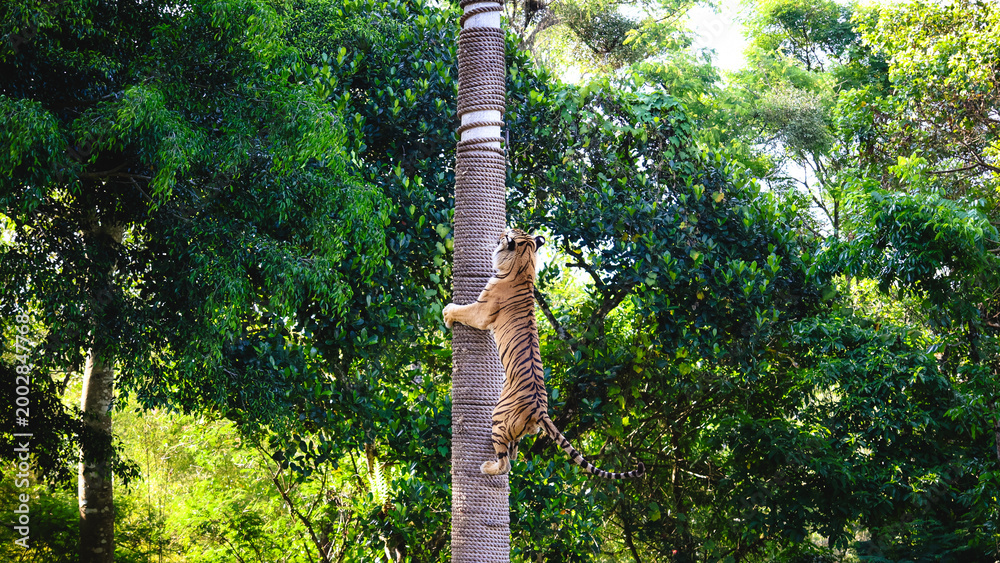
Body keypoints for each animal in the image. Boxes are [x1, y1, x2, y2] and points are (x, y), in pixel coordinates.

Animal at [443, 228, 645, 479]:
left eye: (508, 233)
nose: (500, 234)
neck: (525, 264)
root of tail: (540, 410)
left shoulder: (481, 311)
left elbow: (462, 311)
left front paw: (448, 313)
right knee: (514, 452)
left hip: (498, 417)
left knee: (505, 462)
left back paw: (487, 467)